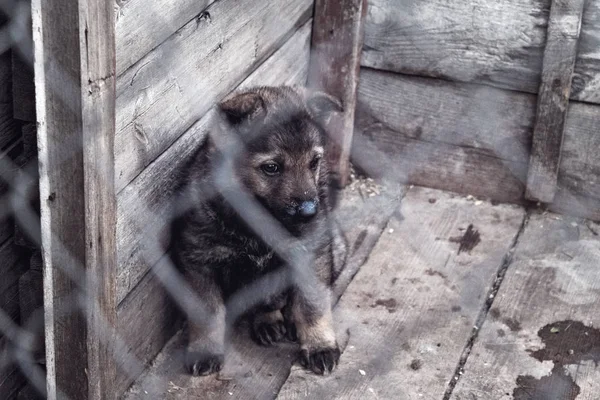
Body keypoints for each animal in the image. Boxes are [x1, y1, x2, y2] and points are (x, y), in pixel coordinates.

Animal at [170, 86, 346, 376]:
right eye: (271, 167)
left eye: (314, 162)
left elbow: (312, 304)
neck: (256, 221)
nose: (310, 212)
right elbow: (207, 313)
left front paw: (319, 345)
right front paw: (205, 350)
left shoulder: (311, 255)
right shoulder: (198, 261)